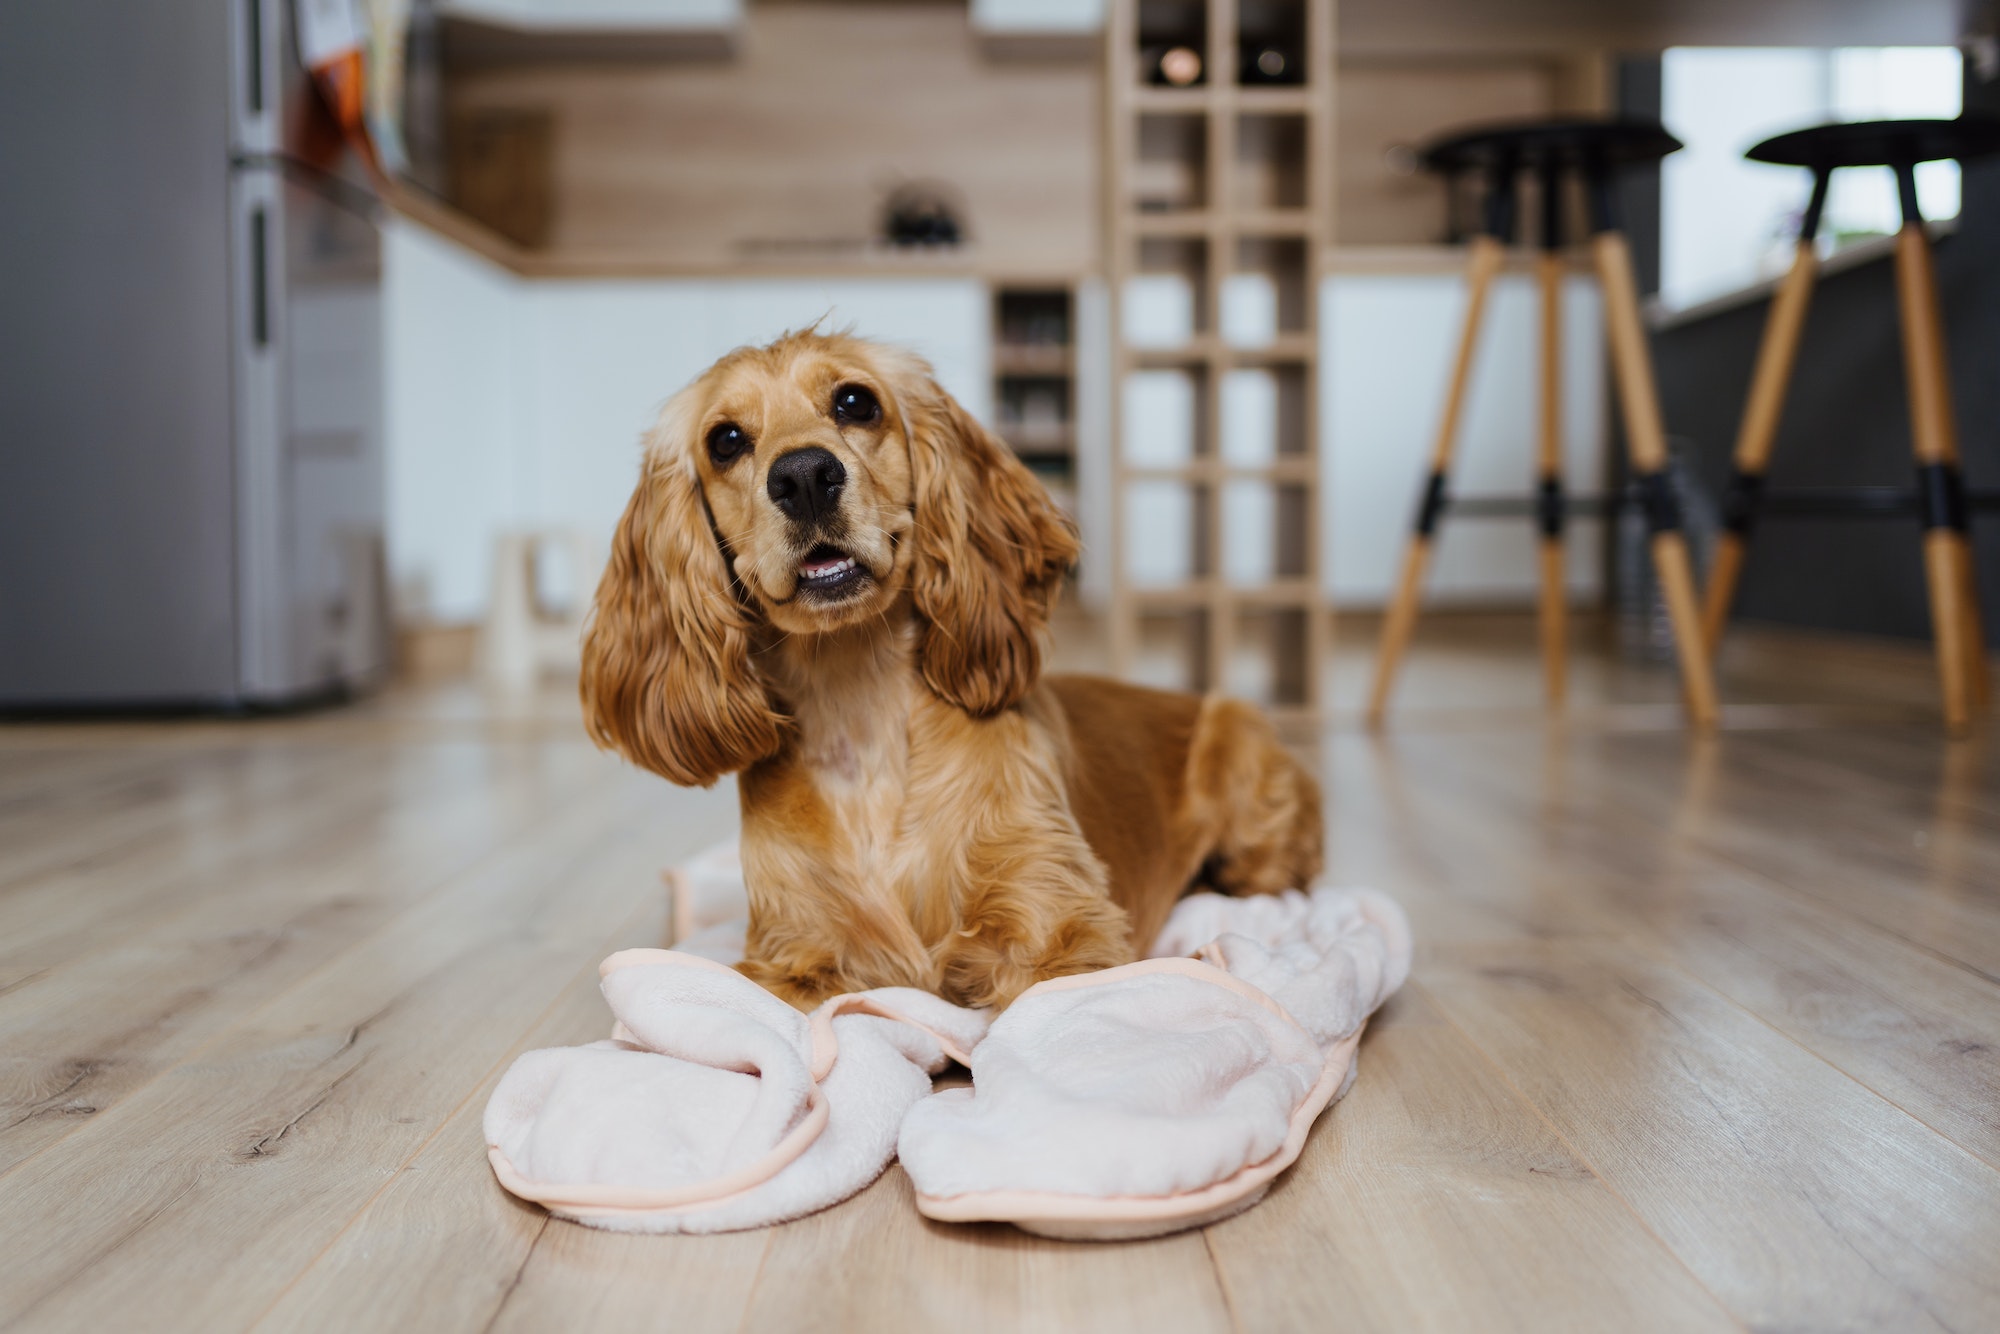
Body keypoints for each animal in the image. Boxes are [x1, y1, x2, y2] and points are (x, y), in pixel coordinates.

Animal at [584, 328, 1328, 1008]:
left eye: (855, 401)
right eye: (726, 441)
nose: (803, 476)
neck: (861, 715)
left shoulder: (1054, 928)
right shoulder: (795, 955)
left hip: (1253, 803)